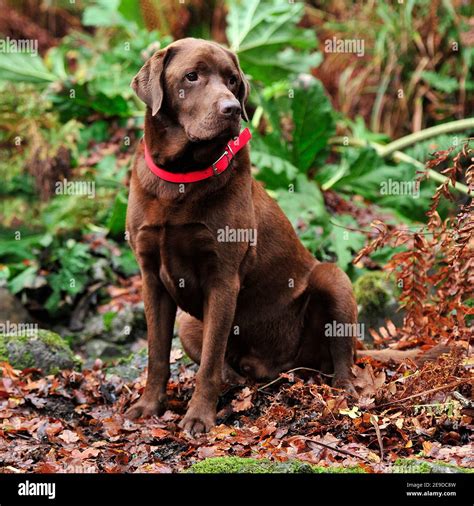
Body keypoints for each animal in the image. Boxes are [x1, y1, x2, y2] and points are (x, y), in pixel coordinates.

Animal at [125, 38, 356, 434]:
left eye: (233, 80)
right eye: (192, 76)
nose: (232, 108)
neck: (182, 178)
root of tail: (279, 370)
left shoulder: (223, 278)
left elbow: (208, 365)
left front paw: (199, 418)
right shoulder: (151, 276)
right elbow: (157, 353)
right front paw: (149, 405)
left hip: (332, 279)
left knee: (343, 360)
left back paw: (344, 394)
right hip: (190, 323)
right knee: (229, 367)